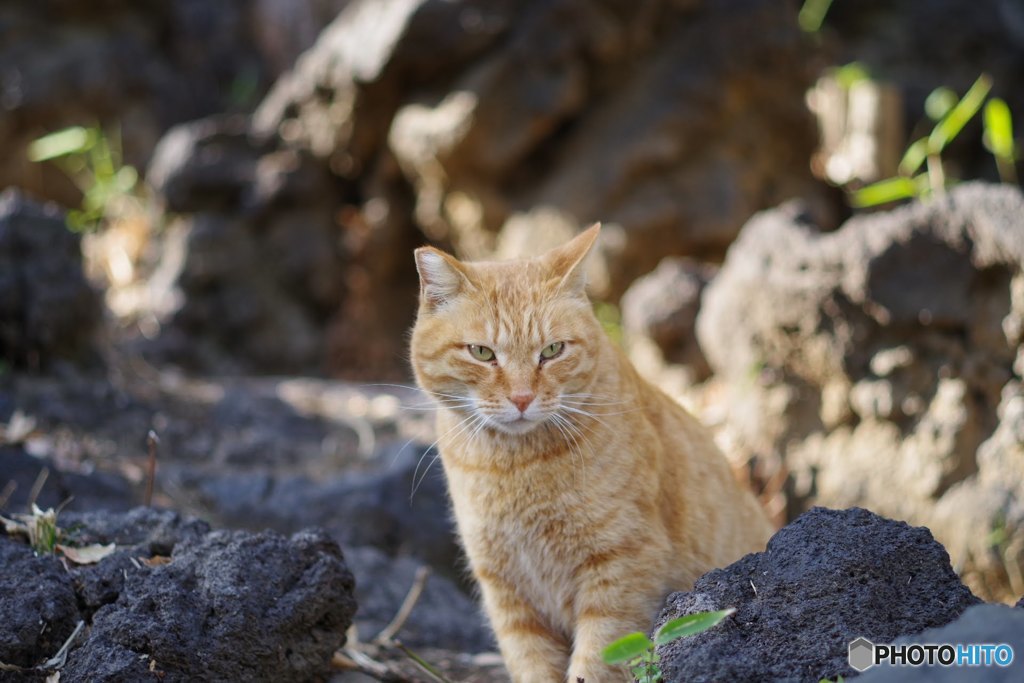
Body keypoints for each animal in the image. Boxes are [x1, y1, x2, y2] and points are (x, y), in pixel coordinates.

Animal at [407, 227, 770, 679]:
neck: (515, 465)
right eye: (482, 353)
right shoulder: (507, 592)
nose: (522, 398)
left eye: (552, 350)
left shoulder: (621, 568)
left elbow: (596, 663)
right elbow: (531, 664)